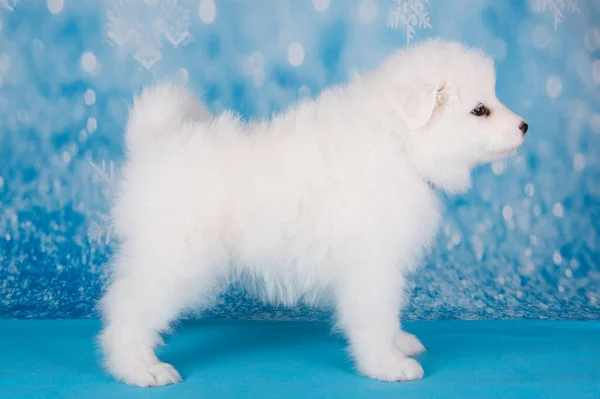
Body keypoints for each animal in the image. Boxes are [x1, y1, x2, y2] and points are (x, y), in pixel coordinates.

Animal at [99, 39, 528, 388]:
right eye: (479, 110)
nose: (525, 126)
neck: (398, 145)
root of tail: (155, 144)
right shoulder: (372, 265)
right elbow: (376, 317)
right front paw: (387, 365)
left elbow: (388, 317)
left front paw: (399, 344)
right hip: (176, 258)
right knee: (127, 308)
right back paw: (140, 367)